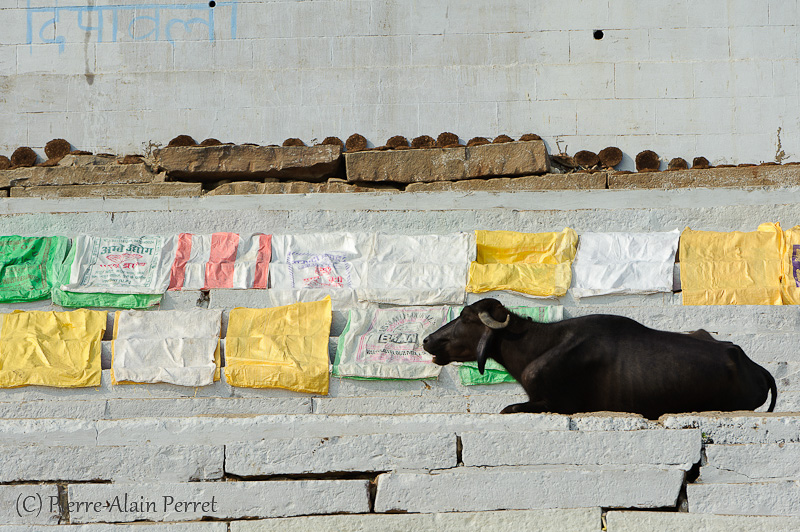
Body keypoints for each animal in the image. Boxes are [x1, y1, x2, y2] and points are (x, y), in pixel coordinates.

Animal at [422, 300, 780, 420]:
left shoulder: (555, 402)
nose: (427, 340)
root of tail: (753, 366)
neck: (537, 346)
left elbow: (509, 408)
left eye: (466, 317)